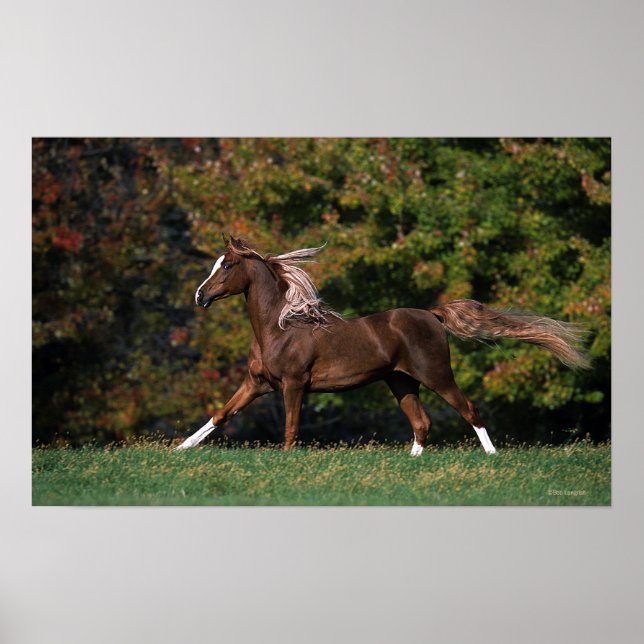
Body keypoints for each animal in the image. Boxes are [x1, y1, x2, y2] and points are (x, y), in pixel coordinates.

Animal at [176, 236, 589, 455]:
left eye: (227, 265)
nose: (199, 296)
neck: (280, 328)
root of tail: (433, 315)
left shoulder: (293, 385)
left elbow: (291, 429)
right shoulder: (257, 384)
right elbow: (221, 415)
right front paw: (180, 450)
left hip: (436, 375)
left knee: (469, 410)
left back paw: (493, 456)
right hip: (401, 381)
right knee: (421, 423)